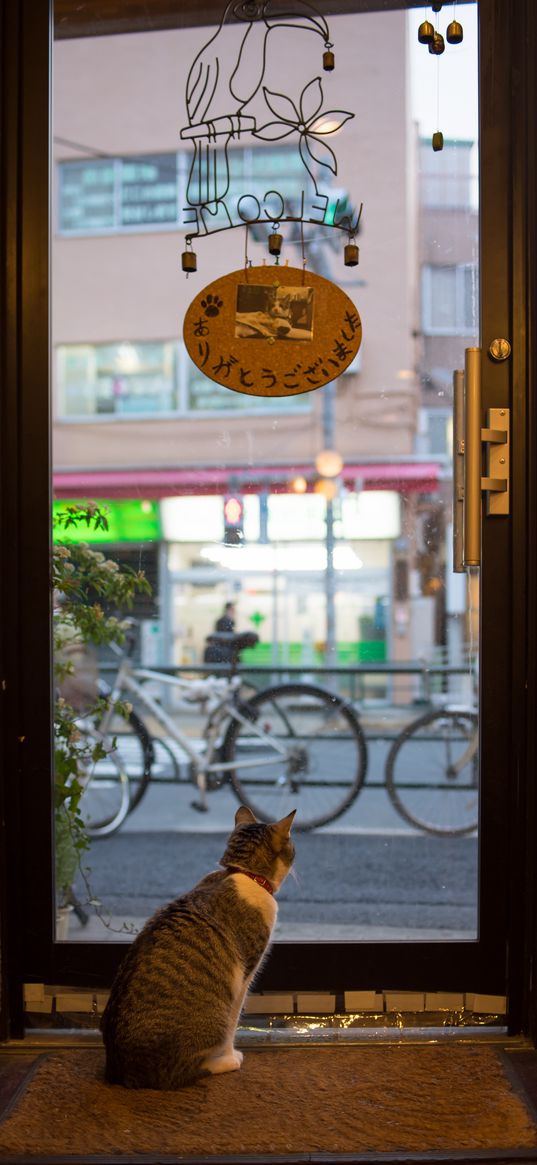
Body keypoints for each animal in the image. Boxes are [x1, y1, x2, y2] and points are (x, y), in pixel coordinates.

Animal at [99, 806, 293, 1085]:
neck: (242, 874)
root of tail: (122, 1072)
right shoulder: (244, 976)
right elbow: (233, 1025)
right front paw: (230, 1054)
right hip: (212, 1017)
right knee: (183, 1071)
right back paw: (226, 1062)